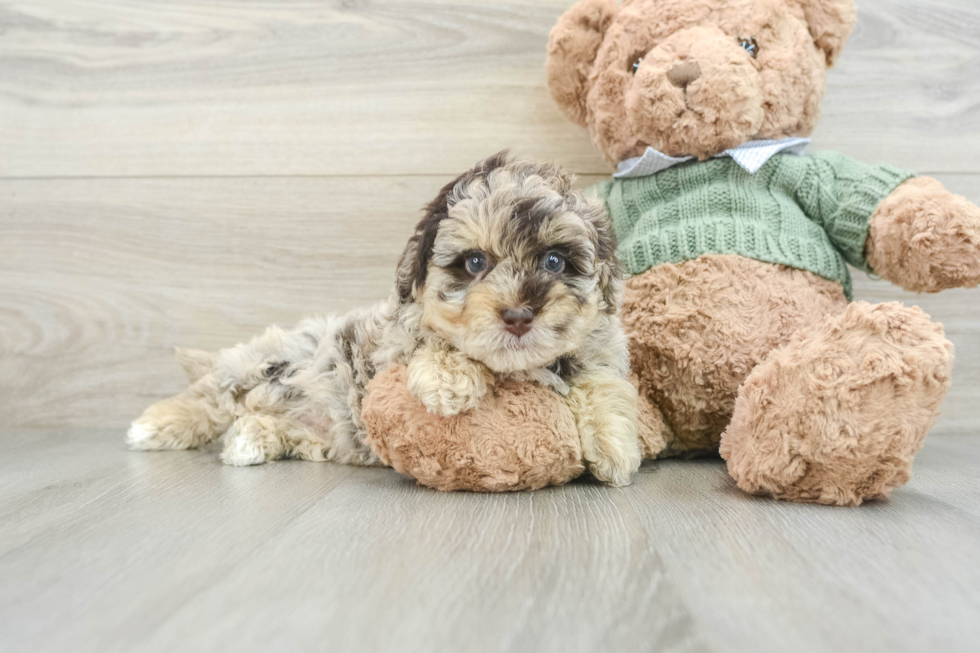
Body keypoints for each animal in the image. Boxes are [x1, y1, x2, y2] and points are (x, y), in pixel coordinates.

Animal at [128, 153, 644, 486]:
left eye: (555, 261)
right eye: (475, 263)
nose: (518, 315)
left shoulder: (599, 350)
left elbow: (602, 382)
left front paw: (616, 445)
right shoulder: (392, 342)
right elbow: (437, 339)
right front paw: (448, 380)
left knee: (254, 420)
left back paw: (250, 439)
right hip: (272, 359)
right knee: (210, 397)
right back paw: (154, 425)